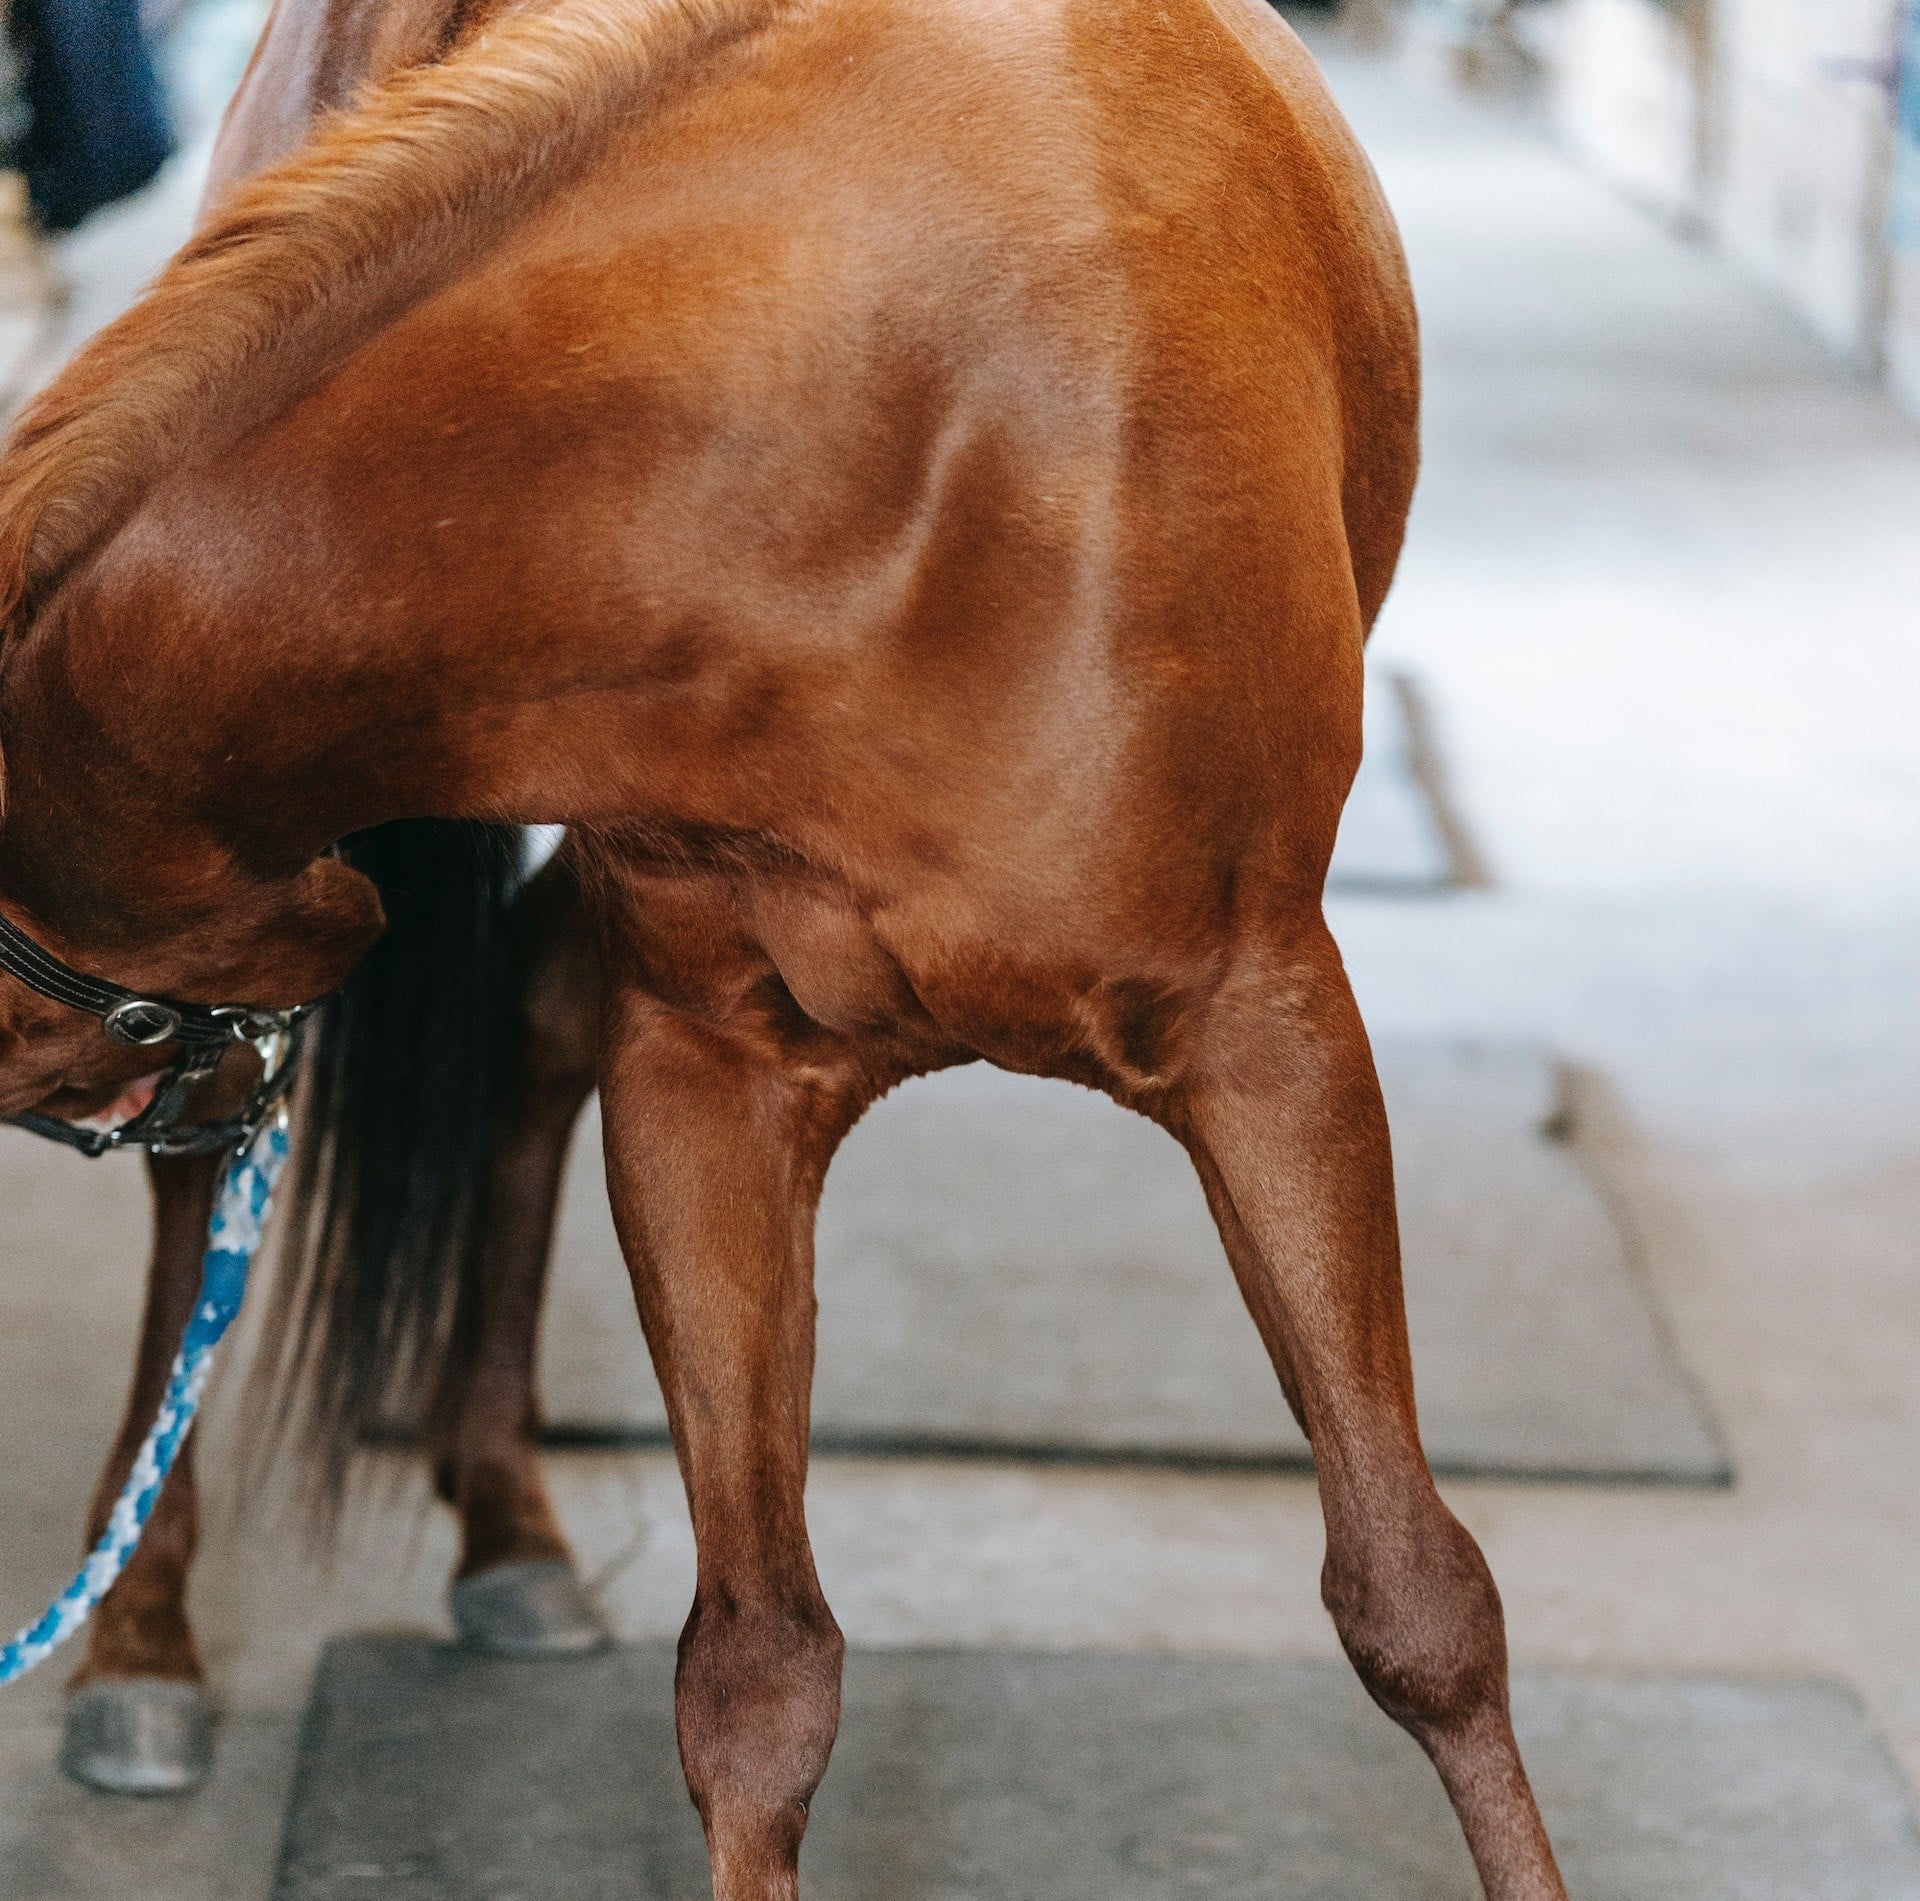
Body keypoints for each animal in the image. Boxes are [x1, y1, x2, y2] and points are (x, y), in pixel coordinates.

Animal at [0, 0, 1559, 1897]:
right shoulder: (707, 1078)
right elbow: (757, 1680)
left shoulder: (1271, 1039)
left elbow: (1420, 1603)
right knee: (230, 1184)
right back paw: (145, 1642)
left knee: (513, 1025)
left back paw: (504, 1530)